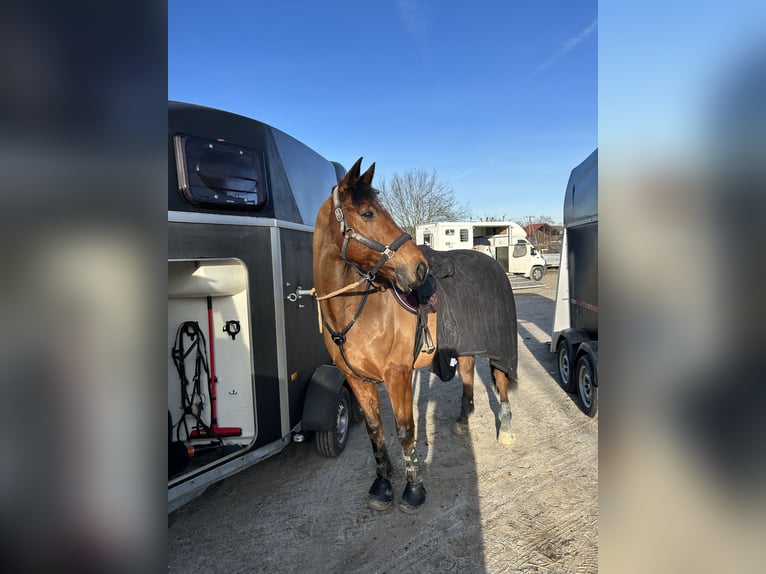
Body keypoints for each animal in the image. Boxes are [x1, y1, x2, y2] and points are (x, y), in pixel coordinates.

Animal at [313, 157, 517, 513]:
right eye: (368, 213)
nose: (419, 268)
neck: (359, 308)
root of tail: (491, 260)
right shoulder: (357, 380)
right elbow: (375, 430)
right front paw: (382, 485)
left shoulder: (398, 374)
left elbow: (405, 430)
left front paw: (414, 490)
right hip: (464, 345)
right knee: (467, 375)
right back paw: (462, 420)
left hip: (498, 347)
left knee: (502, 382)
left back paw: (504, 429)